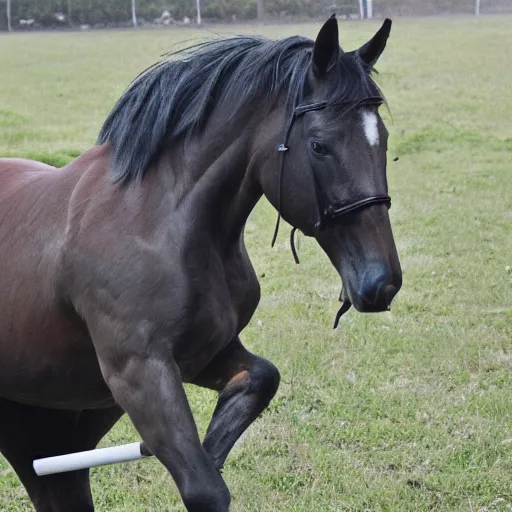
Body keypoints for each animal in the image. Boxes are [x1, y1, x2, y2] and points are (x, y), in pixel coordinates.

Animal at [0, 17, 400, 512]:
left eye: (383, 140)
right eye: (320, 146)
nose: (381, 282)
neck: (160, 222)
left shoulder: (206, 352)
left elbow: (259, 381)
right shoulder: (139, 374)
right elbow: (205, 488)